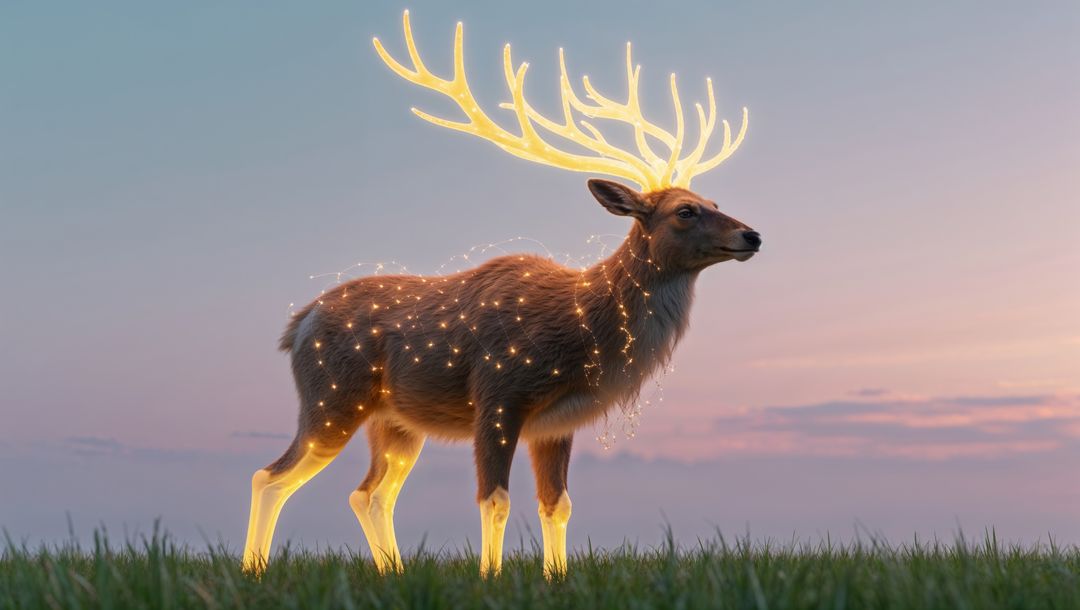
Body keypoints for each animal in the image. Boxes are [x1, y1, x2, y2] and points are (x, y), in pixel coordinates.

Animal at [242, 10, 760, 578]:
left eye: (714, 201)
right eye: (684, 211)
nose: (751, 235)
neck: (581, 330)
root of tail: (299, 323)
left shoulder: (556, 423)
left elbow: (557, 504)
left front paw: (556, 577)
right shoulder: (498, 393)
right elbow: (494, 499)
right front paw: (490, 577)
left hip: (395, 422)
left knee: (370, 493)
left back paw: (393, 570)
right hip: (331, 395)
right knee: (270, 476)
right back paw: (253, 569)